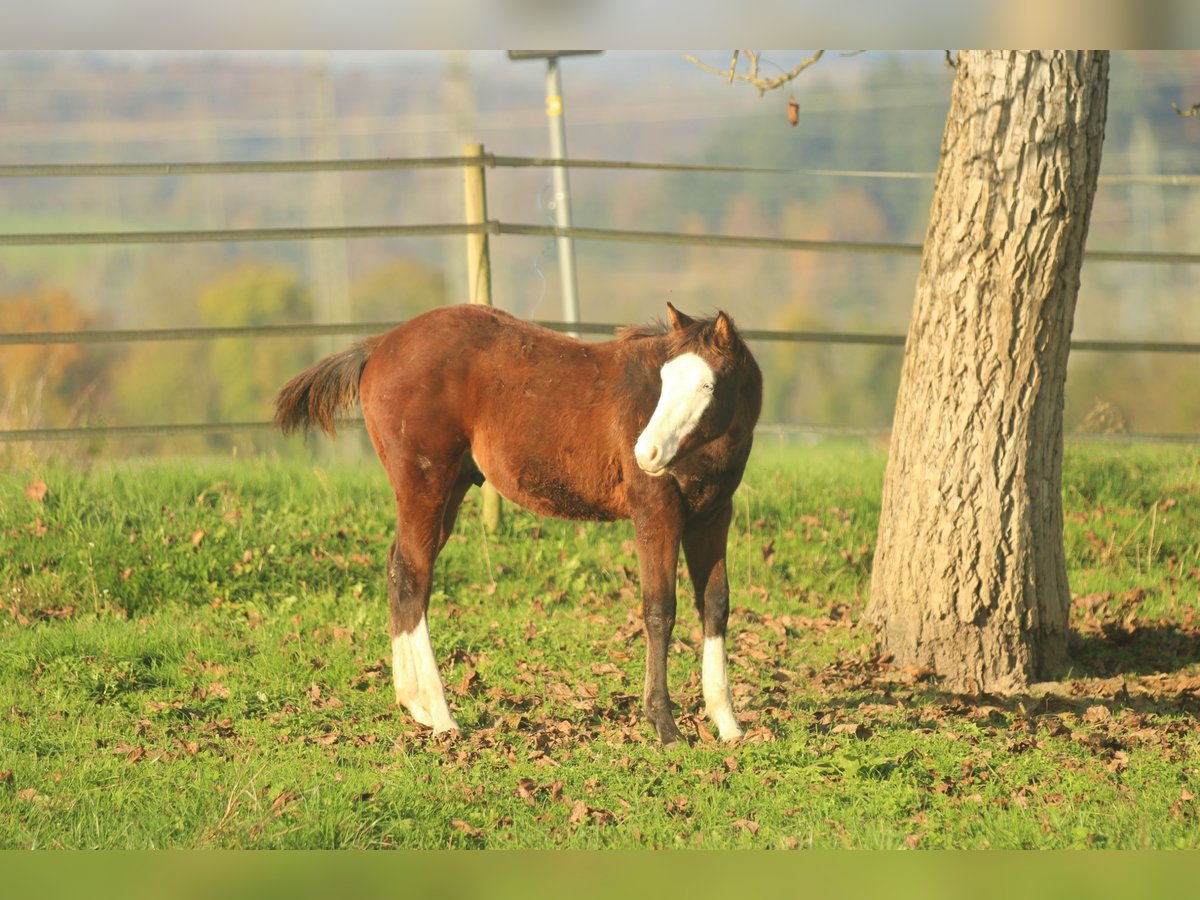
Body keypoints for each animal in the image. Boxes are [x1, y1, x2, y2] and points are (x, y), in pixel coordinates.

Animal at [274, 303, 758, 748]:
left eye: (707, 384)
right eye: (664, 381)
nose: (647, 453)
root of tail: (378, 346)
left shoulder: (714, 517)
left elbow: (715, 605)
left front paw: (728, 723)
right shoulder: (655, 512)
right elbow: (660, 610)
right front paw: (665, 726)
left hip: (449, 489)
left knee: (400, 569)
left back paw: (413, 703)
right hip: (423, 483)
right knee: (413, 575)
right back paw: (442, 714)